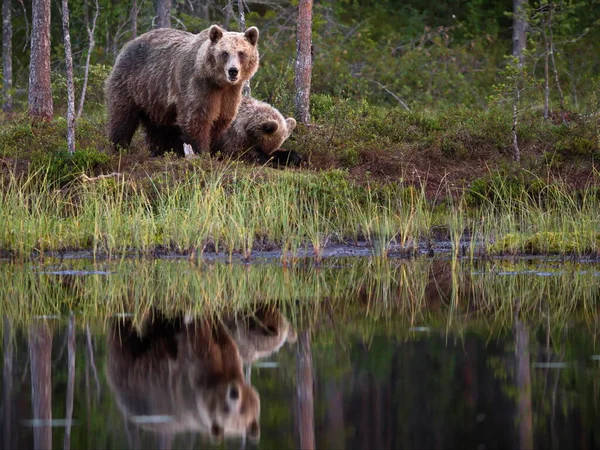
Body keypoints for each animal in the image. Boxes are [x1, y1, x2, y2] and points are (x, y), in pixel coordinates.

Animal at [105, 25, 258, 157]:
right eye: (224, 53)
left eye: (241, 53)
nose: (233, 71)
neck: (218, 82)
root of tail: (128, 44)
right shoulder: (198, 86)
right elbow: (196, 118)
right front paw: (201, 152)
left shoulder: (229, 94)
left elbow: (220, 119)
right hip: (131, 84)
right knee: (123, 117)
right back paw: (120, 148)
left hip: (154, 100)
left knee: (158, 128)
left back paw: (160, 152)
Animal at [106, 312, 260, 442]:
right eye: (225, 408)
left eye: (243, 409)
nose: (234, 393)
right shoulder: (192, 373)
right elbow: (199, 337)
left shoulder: (228, 361)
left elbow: (224, 341)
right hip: (131, 378)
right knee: (124, 333)